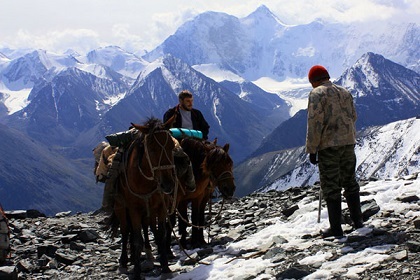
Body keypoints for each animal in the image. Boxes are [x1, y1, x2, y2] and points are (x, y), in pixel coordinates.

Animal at [109, 117, 176, 278]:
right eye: (151, 149)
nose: (168, 185)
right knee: (126, 231)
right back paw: (125, 261)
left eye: (172, 146)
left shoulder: (160, 206)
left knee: (145, 228)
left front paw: (165, 267)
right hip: (120, 207)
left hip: (147, 211)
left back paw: (143, 255)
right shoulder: (134, 209)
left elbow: (160, 234)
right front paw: (137, 273)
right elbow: (136, 239)